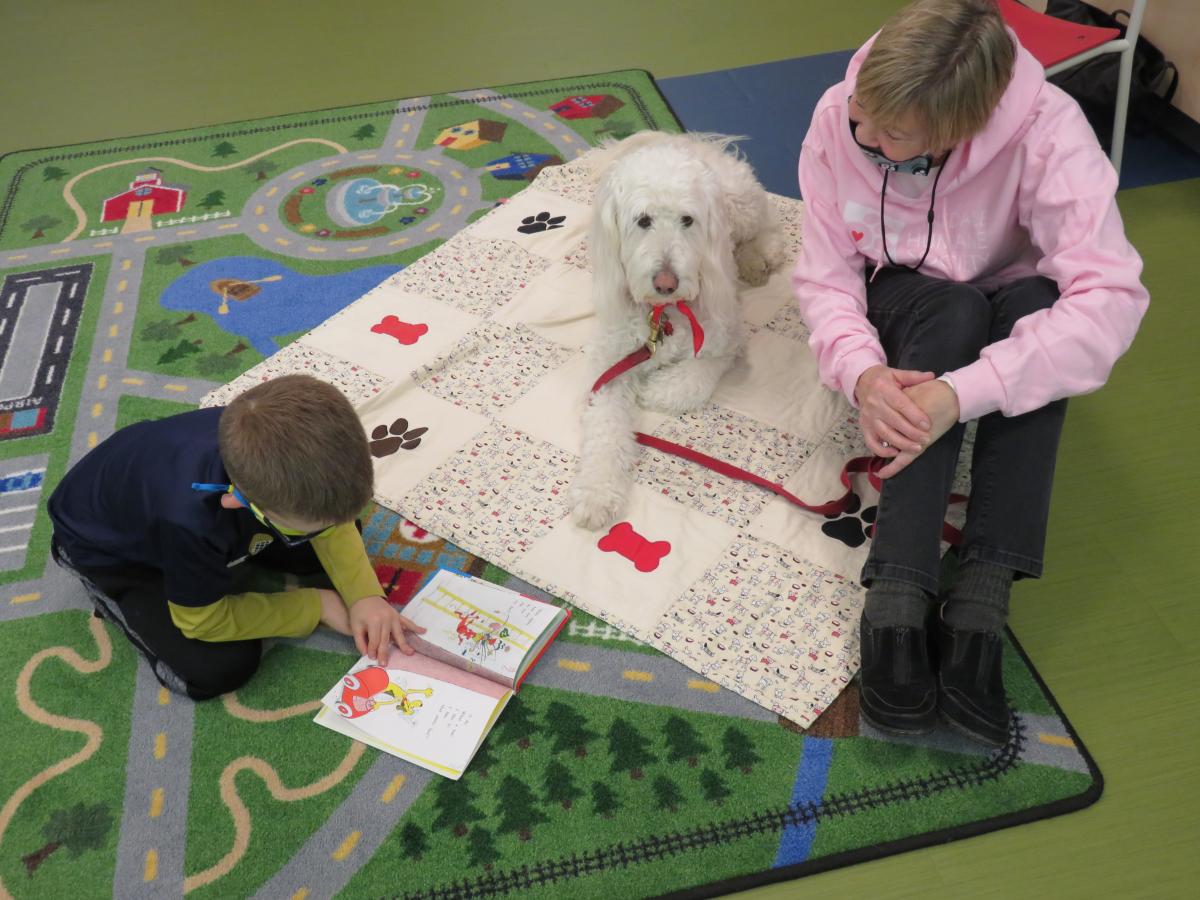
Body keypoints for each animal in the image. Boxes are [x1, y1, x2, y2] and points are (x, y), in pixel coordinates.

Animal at [571, 130, 787, 532]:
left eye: (688, 220)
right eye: (643, 220)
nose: (666, 283)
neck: (664, 315)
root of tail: (686, 140)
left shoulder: (727, 337)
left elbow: (694, 377)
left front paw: (657, 390)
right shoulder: (610, 364)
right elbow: (605, 429)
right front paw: (596, 494)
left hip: (742, 206)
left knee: (768, 225)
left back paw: (759, 257)